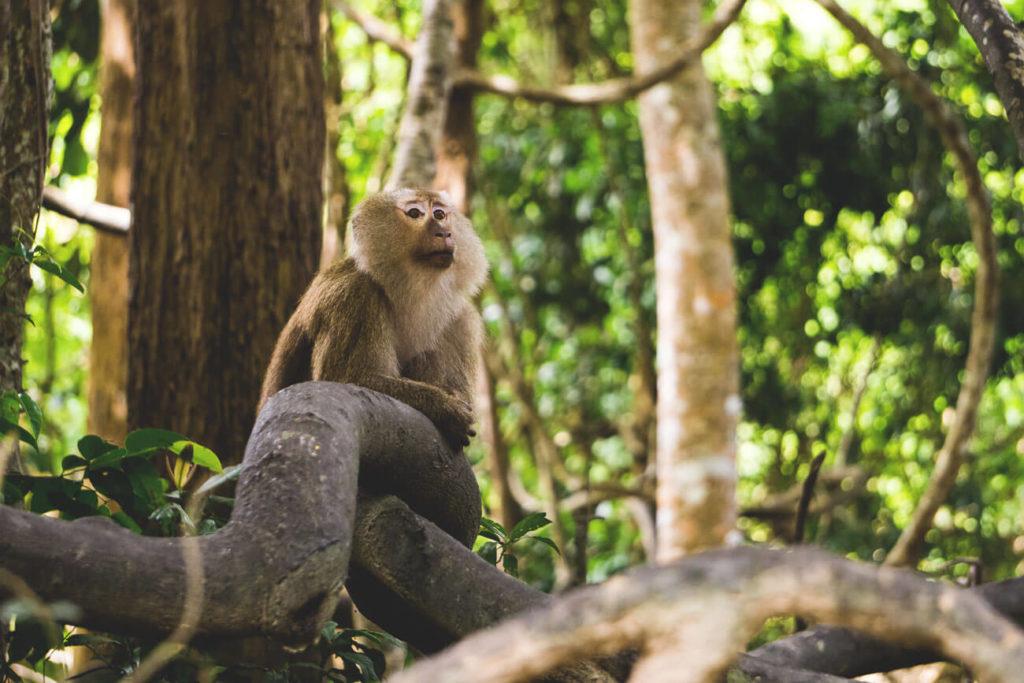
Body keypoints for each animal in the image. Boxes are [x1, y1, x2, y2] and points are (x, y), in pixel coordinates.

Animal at [259, 188, 489, 449]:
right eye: (415, 213)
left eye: (440, 214)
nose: (444, 232)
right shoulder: (354, 295)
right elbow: (347, 378)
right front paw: (443, 406)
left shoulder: (459, 321)